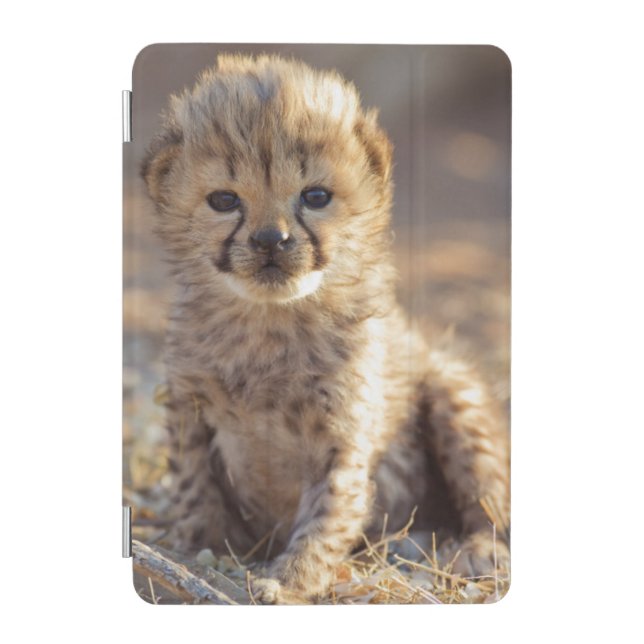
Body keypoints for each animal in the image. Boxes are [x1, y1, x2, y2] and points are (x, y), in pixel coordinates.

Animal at [141, 53, 510, 604]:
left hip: (453, 391)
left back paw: (476, 550)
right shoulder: (189, 408)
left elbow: (328, 512)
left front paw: (287, 581)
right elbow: (194, 489)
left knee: (490, 499)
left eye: (315, 196)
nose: (271, 240)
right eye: (224, 200)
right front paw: (201, 551)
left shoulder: (343, 435)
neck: (270, 324)